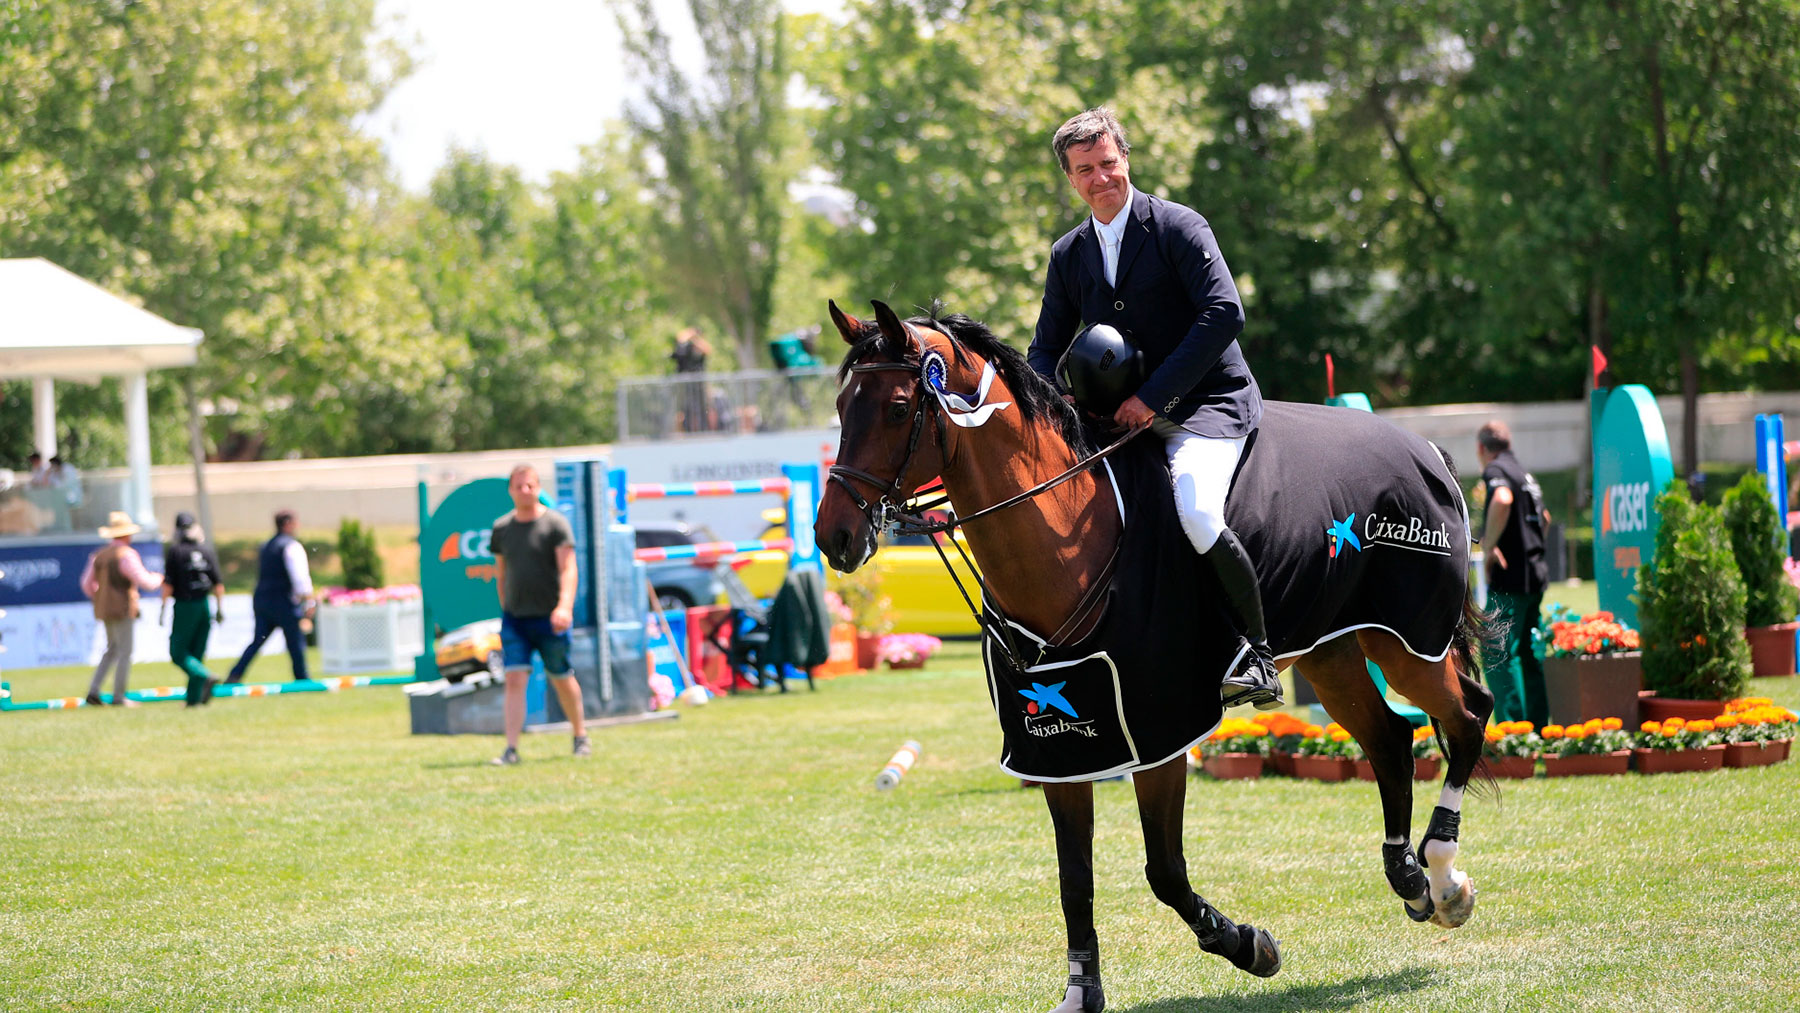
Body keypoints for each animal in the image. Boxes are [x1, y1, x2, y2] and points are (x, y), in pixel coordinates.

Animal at [814, 299, 1494, 1011]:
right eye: (841, 405)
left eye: (897, 408)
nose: (833, 536)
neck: (1066, 541)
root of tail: (1420, 446)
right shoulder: (1062, 748)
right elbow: (1074, 879)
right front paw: (1082, 991)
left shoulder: (1160, 733)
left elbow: (1164, 870)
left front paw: (1250, 946)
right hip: (1331, 653)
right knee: (1390, 739)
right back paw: (1411, 880)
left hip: (1408, 642)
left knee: (1467, 716)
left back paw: (1444, 877)